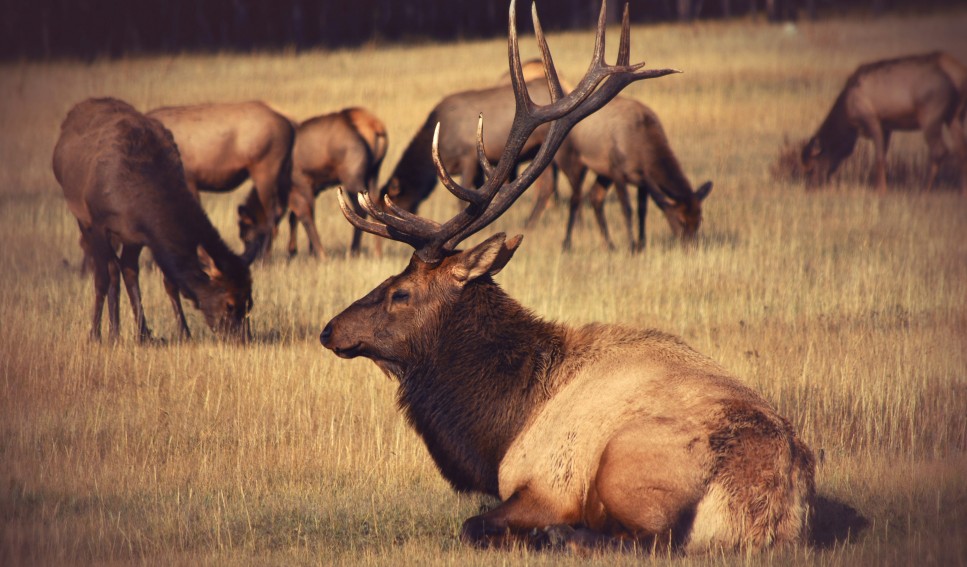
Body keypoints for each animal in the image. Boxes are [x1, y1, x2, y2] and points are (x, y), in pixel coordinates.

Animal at [53, 98, 253, 342]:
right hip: (82, 218)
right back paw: (113, 332)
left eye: (250, 303)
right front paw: (94, 335)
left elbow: (169, 282)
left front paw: (183, 332)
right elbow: (101, 279)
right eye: (229, 304)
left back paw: (137, 333)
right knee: (111, 270)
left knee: (126, 269)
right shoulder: (98, 224)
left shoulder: (142, 235)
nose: (243, 338)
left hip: (128, 238)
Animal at [320, 0, 816, 552]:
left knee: (639, 539)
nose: (330, 329)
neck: (499, 427)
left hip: (629, 461)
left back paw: (558, 536)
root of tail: (772, 508)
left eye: (400, 292)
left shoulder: (544, 483)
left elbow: (473, 523)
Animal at [800, 51, 967, 197]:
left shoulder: (872, 120)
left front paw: (880, 190)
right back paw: (961, 191)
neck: (847, 116)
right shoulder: (887, 127)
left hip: (930, 115)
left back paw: (924, 189)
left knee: (939, 150)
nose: (809, 189)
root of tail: (958, 76)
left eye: (811, 168)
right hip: (955, 117)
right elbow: (884, 157)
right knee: (961, 149)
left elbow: (879, 158)